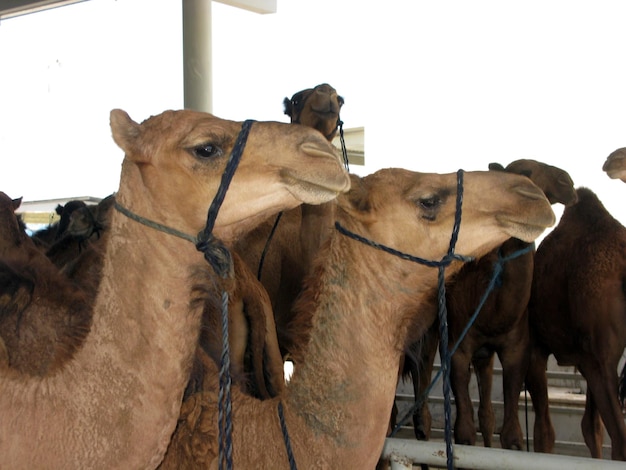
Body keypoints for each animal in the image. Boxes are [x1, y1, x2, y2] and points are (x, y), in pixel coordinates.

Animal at [524, 186, 624, 458]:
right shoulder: (584, 356)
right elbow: (592, 429)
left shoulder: (535, 347)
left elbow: (544, 432)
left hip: (602, 357)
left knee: (619, 439)